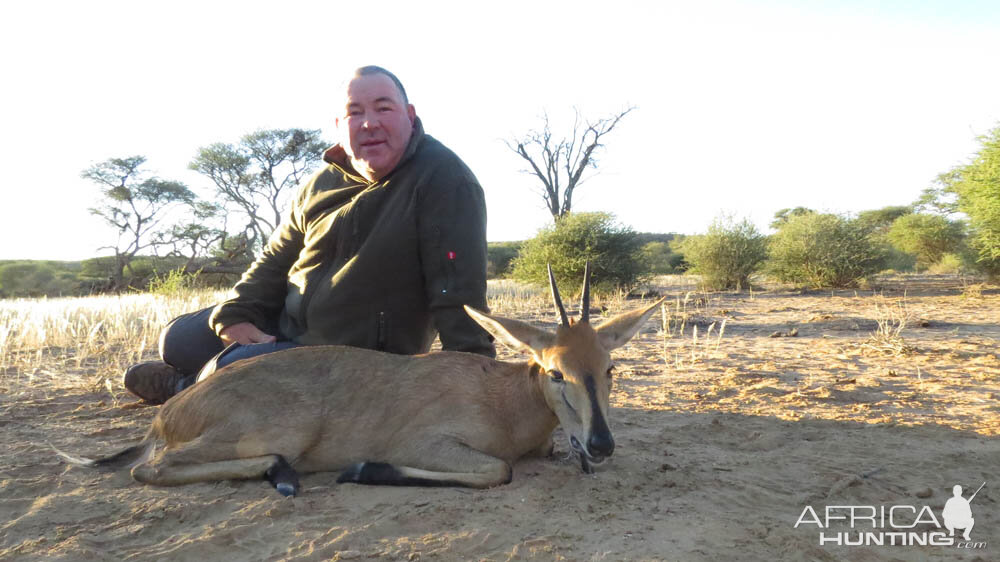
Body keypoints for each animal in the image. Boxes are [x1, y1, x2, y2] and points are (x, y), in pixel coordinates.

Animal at [56, 266, 664, 494]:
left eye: (609, 368)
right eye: (556, 371)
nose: (601, 444)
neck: (503, 396)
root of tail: (166, 415)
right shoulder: (429, 444)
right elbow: (498, 471)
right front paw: (363, 468)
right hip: (280, 429)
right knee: (148, 469)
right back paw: (284, 474)